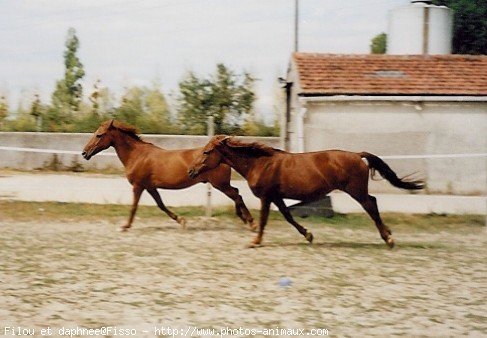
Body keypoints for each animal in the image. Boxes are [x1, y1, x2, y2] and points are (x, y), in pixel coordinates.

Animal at [81, 120, 254, 231]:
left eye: (99, 135)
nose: (84, 153)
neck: (136, 156)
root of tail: (223, 157)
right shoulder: (150, 187)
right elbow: (161, 205)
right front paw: (181, 221)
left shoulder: (138, 186)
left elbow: (134, 207)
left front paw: (125, 226)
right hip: (222, 185)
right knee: (237, 193)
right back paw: (243, 218)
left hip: (220, 184)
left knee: (237, 195)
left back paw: (250, 222)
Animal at [189, 135, 426, 248]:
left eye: (206, 152)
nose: (191, 171)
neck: (260, 163)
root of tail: (358, 155)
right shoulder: (277, 196)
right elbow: (288, 216)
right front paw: (309, 235)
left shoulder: (266, 196)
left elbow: (264, 220)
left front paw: (255, 241)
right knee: (373, 203)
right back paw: (389, 234)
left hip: (356, 191)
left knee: (372, 205)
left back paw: (388, 239)